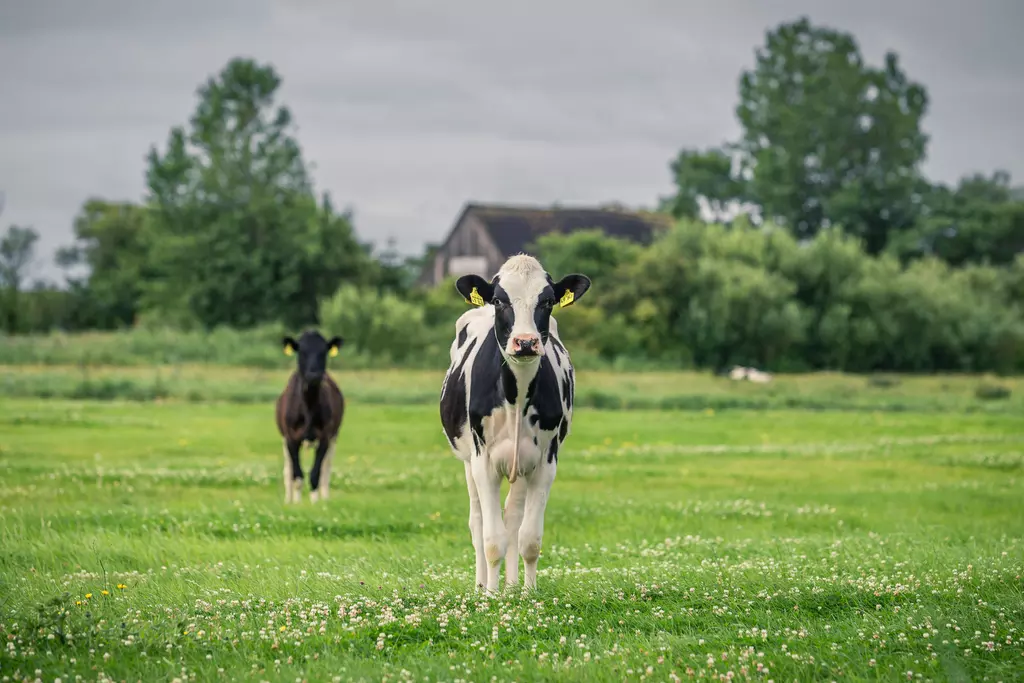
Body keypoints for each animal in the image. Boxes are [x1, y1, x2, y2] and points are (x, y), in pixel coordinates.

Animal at [274, 329, 346, 501]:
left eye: (323, 352)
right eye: (302, 352)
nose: (314, 375)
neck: (308, 408)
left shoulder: (325, 436)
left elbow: (315, 474)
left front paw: (315, 504)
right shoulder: (290, 437)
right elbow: (297, 475)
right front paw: (297, 503)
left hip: (334, 436)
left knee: (326, 469)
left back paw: (325, 499)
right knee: (288, 470)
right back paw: (288, 500)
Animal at [438, 253, 593, 589]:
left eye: (547, 301)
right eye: (499, 300)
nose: (525, 342)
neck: (517, 396)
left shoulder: (545, 462)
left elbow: (529, 538)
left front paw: (527, 592)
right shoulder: (483, 461)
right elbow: (492, 539)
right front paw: (491, 595)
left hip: (520, 462)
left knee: (512, 517)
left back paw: (510, 585)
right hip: (468, 461)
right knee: (478, 521)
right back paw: (482, 585)